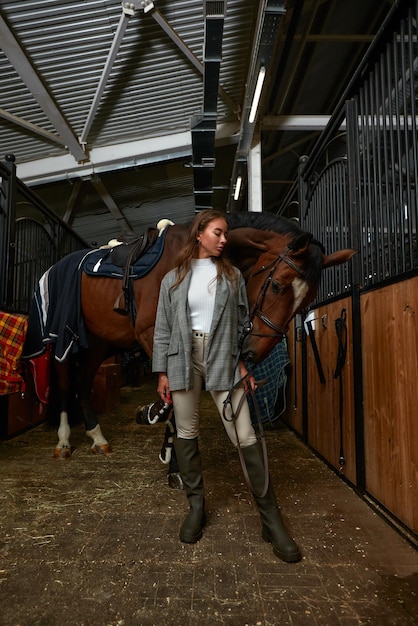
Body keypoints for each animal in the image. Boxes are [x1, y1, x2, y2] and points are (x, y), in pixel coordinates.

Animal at [25, 212, 352, 456]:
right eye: (277, 285)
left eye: (307, 302)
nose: (253, 353)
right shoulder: (151, 332)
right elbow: (169, 395)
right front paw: (149, 413)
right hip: (66, 341)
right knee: (65, 383)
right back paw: (64, 441)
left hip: (97, 343)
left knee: (82, 383)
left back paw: (97, 438)